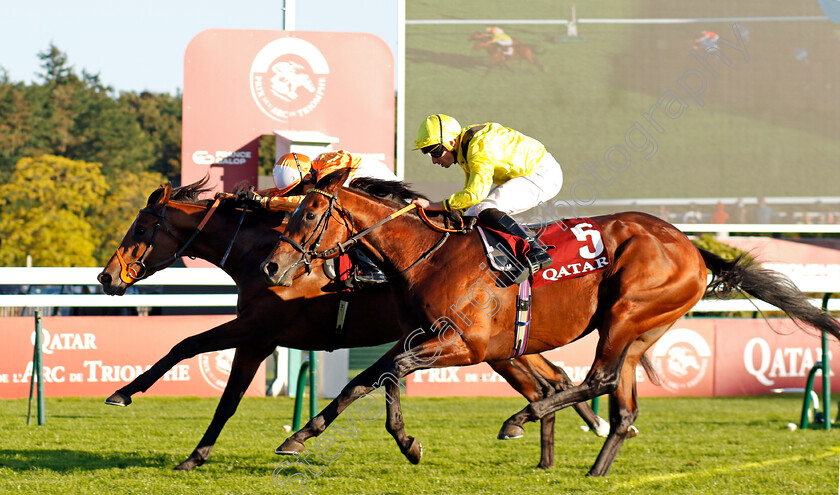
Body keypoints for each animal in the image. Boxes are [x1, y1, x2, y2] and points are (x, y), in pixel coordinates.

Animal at [97, 178, 612, 472]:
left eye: (140, 228)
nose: (106, 277)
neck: (258, 250)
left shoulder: (259, 331)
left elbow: (188, 349)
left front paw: (124, 394)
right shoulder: (259, 337)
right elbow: (226, 396)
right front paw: (196, 454)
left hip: (489, 346)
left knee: (547, 382)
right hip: (501, 346)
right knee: (550, 380)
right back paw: (568, 437)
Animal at [260, 170, 840, 476]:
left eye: (308, 212)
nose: (270, 267)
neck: (429, 254)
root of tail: (693, 248)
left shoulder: (467, 345)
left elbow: (391, 373)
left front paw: (404, 441)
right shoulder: (420, 336)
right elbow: (367, 379)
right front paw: (303, 436)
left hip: (624, 313)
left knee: (596, 379)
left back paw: (524, 417)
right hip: (641, 330)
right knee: (622, 406)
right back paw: (593, 469)